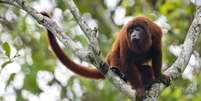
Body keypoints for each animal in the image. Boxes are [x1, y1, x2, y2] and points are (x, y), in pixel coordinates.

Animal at [40, 12, 170, 97]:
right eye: (130, 31)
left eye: (138, 29)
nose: (133, 35)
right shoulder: (124, 39)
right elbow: (127, 61)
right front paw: (139, 89)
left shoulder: (156, 32)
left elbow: (157, 53)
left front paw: (159, 76)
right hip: (113, 59)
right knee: (117, 57)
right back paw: (117, 72)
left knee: (146, 69)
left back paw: (148, 84)